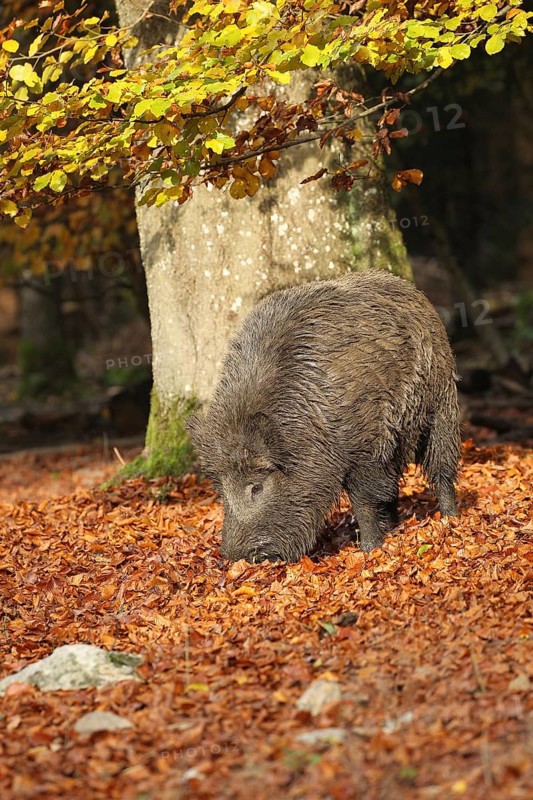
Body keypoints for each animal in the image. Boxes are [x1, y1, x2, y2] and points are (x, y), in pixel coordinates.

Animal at [187, 270, 460, 563]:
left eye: (257, 486)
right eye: (220, 487)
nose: (231, 555)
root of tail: (412, 291)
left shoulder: (365, 447)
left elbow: (363, 501)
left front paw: (369, 550)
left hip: (442, 405)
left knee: (441, 466)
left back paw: (450, 520)